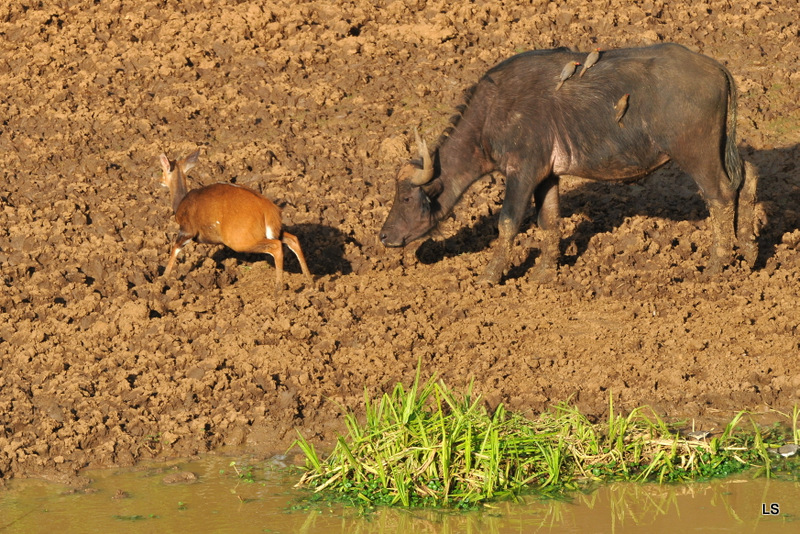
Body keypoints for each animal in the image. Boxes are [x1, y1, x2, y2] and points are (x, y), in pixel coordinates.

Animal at [159, 150, 312, 294]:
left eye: (163, 170)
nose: (160, 180)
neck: (181, 202)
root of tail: (269, 209)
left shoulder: (186, 231)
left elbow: (175, 249)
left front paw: (163, 278)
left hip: (240, 241)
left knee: (276, 246)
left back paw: (278, 290)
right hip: (273, 232)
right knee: (293, 239)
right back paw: (309, 281)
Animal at [380, 43, 756, 284]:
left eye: (406, 197)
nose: (384, 236)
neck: (493, 111)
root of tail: (715, 68)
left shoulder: (522, 173)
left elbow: (508, 222)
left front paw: (490, 274)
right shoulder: (547, 176)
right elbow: (549, 221)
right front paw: (545, 273)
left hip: (696, 154)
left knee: (720, 196)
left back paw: (716, 265)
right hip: (722, 145)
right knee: (746, 178)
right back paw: (749, 251)